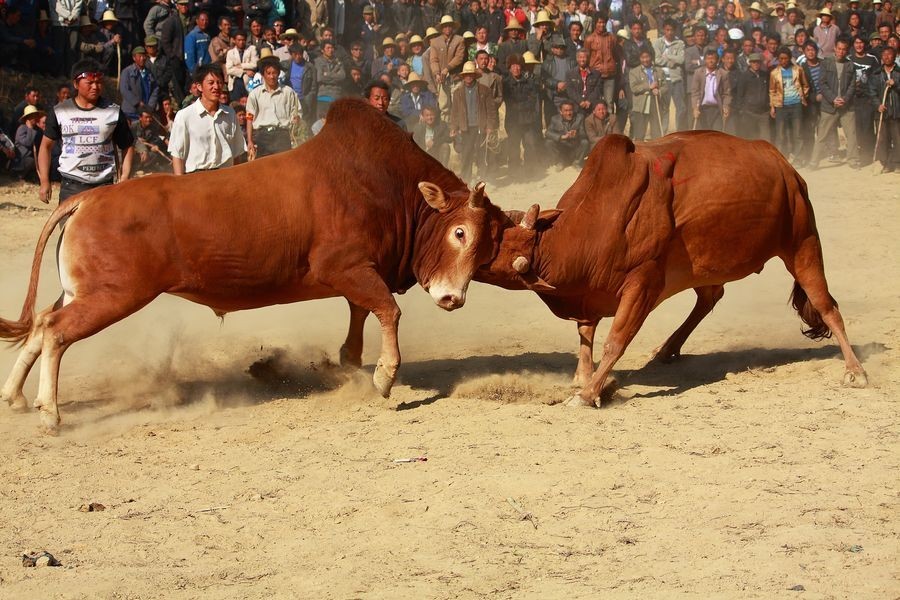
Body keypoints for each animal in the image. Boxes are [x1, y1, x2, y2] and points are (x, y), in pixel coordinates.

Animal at [0, 98, 510, 432]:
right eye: (460, 233)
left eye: (487, 245)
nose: (453, 297)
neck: (387, 187)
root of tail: (89, 198)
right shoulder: (346, 269)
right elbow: (388, 310)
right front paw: (384, 377)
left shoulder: (360, 275)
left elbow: (361, 315)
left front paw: (349, 365)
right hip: (113, 295)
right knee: (57, 332)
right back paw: (50, 413)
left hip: (82, 291)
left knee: (41, 323)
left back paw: (16, 396)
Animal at [478, 133, 864, 406]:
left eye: (493, 241)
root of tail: (785, 165)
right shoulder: (588, 292)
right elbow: (586, 333)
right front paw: (584, 377)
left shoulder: (643, 284)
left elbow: (615, 341)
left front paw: (588, 394)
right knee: (709, 297)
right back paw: (667, 349)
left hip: (802, 243)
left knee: (827, 305)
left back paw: (855, 370)